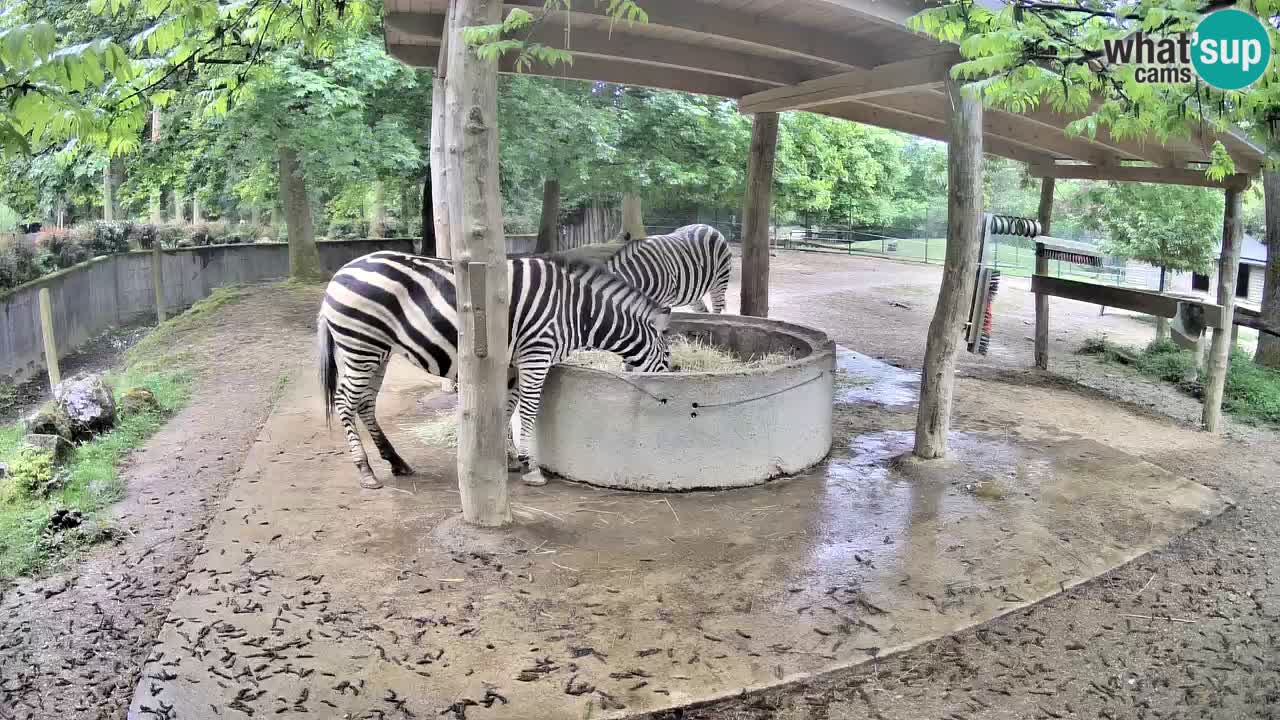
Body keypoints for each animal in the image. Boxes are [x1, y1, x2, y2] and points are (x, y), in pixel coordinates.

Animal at [317, 252, 673, 489]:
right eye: (668, 354)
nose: (667, 394)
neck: (577, 311)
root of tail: (339, 274)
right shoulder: (536, 354)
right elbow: (528, 410)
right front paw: (530, 467)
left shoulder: (514, 362)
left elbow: (510, 407)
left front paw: (509, 457)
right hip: (361, 345)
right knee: (346, 403)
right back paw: (365, 471)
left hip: (378, 351)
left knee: (365, 403)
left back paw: (396, 462)